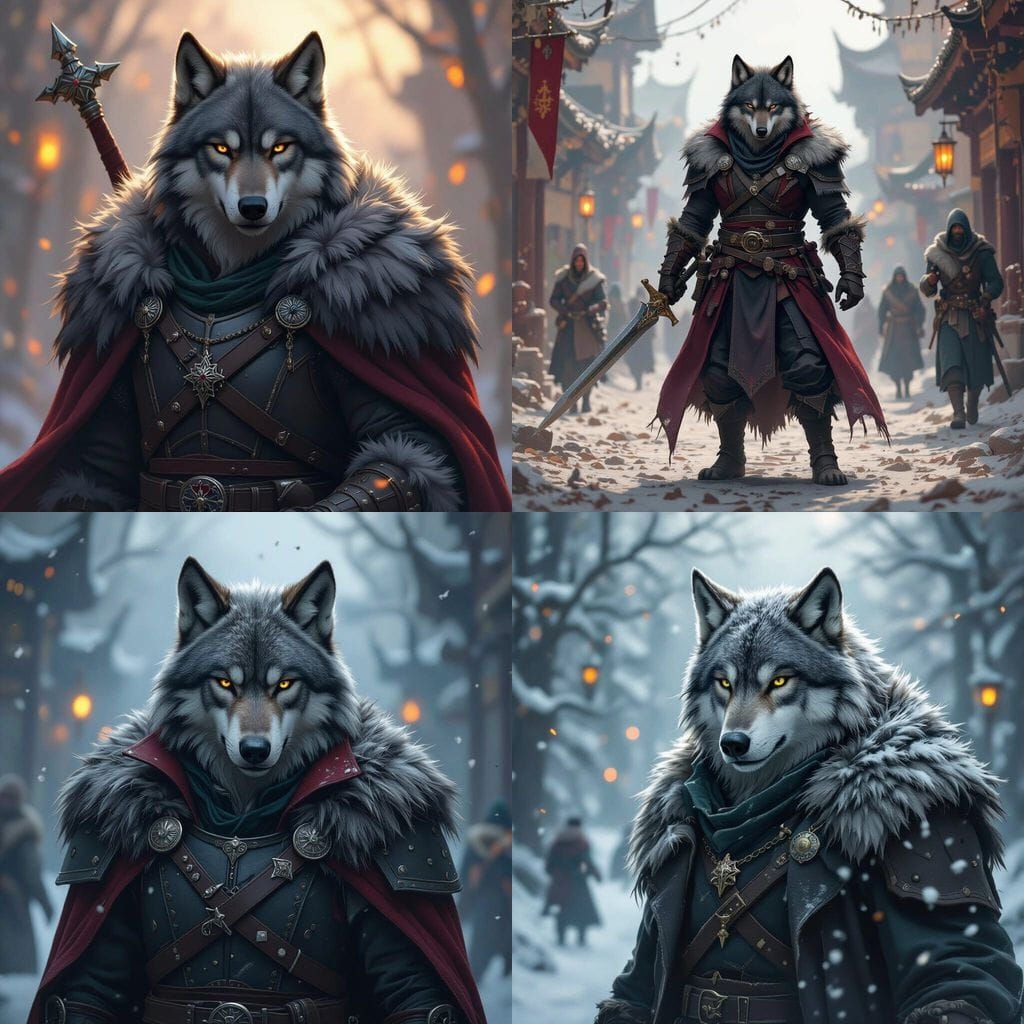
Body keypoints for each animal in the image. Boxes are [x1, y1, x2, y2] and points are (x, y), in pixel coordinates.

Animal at [0, 32, 509, 513]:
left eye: (280, 147)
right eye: (221, 148)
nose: (252, 207)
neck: (230, 272)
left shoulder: (389, 319)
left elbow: (404, 447)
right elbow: (97, 466)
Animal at [32, 558, 485, 1024]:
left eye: (284, 685)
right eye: (225, 683)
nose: (254, 750)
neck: (243, 811)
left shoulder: (409, 856)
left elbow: (422, 999)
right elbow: (83, 995)